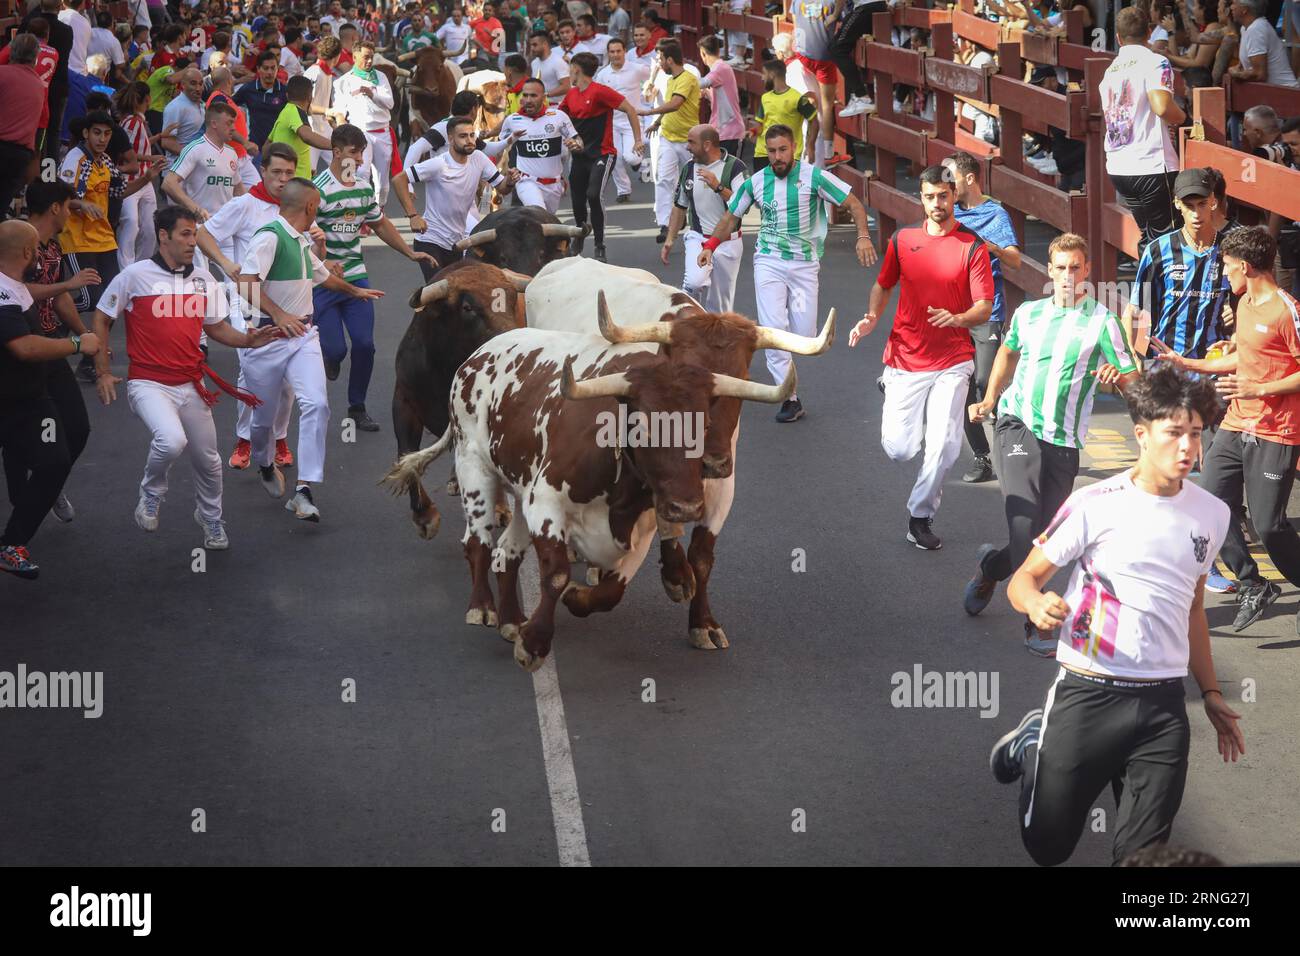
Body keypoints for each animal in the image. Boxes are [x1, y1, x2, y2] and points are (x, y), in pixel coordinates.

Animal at [379, 291, 795, 671]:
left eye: (704, 424)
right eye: (643, 428)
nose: (687, 506)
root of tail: (478, 355)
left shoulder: (640, 526)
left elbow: (614, 587)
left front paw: (577, 600)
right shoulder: (546, 503)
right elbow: (556, 574)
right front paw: (535, 643)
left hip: (519, 493)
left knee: (505, 552)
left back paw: (512, 620)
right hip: (473, 468)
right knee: (478, 541)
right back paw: (483, 607)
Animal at [525, 257, 837, 655]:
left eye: (740, 376)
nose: (712, 462)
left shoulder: (722, 486)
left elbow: (702, 557)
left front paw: (703, 622)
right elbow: (668, 528)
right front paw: (675, 576)